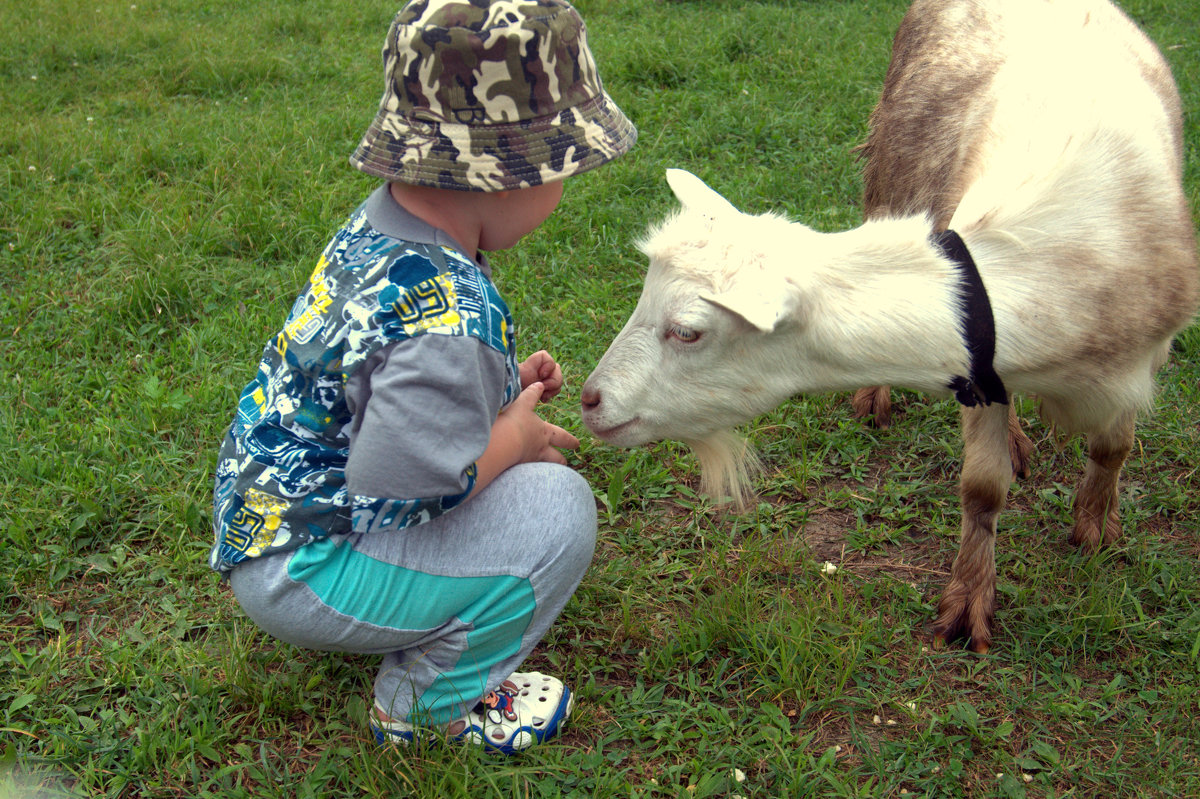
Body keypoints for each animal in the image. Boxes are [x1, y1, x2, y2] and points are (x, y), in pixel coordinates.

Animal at [578, 0, 1190, 652]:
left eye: (688, 331)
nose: (589, 399)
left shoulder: (1137, 356)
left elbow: (1112, 447)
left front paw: (1097, 527)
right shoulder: (980, 370)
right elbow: (983, 487)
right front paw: (970, 600)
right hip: (890, 162)